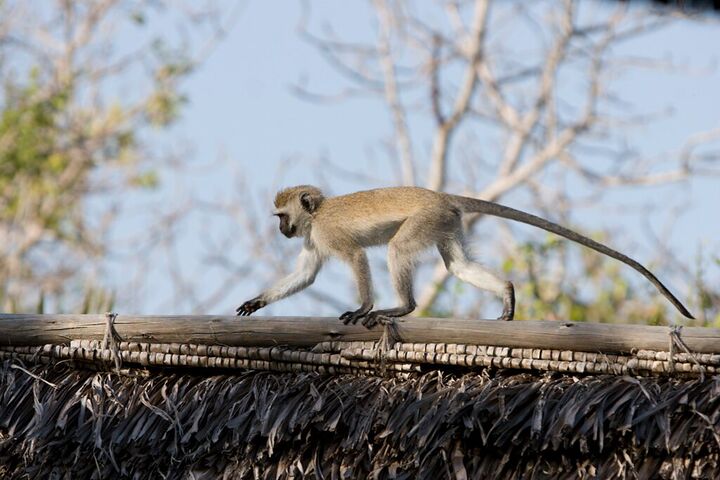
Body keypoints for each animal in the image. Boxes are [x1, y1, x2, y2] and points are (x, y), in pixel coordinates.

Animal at [236, 185, 694, 327]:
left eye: (281, 216)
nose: (282, 230)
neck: (317, 216)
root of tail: (440, 196)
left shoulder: (327, 235)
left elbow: (356, 259)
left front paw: (362, 307)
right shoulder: (313, 241)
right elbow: (306, 275)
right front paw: (256, 302)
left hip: (426, 219)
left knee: (397, 248)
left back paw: (402, 308)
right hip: (445, 222)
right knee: (456, 265)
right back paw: (507, 292)